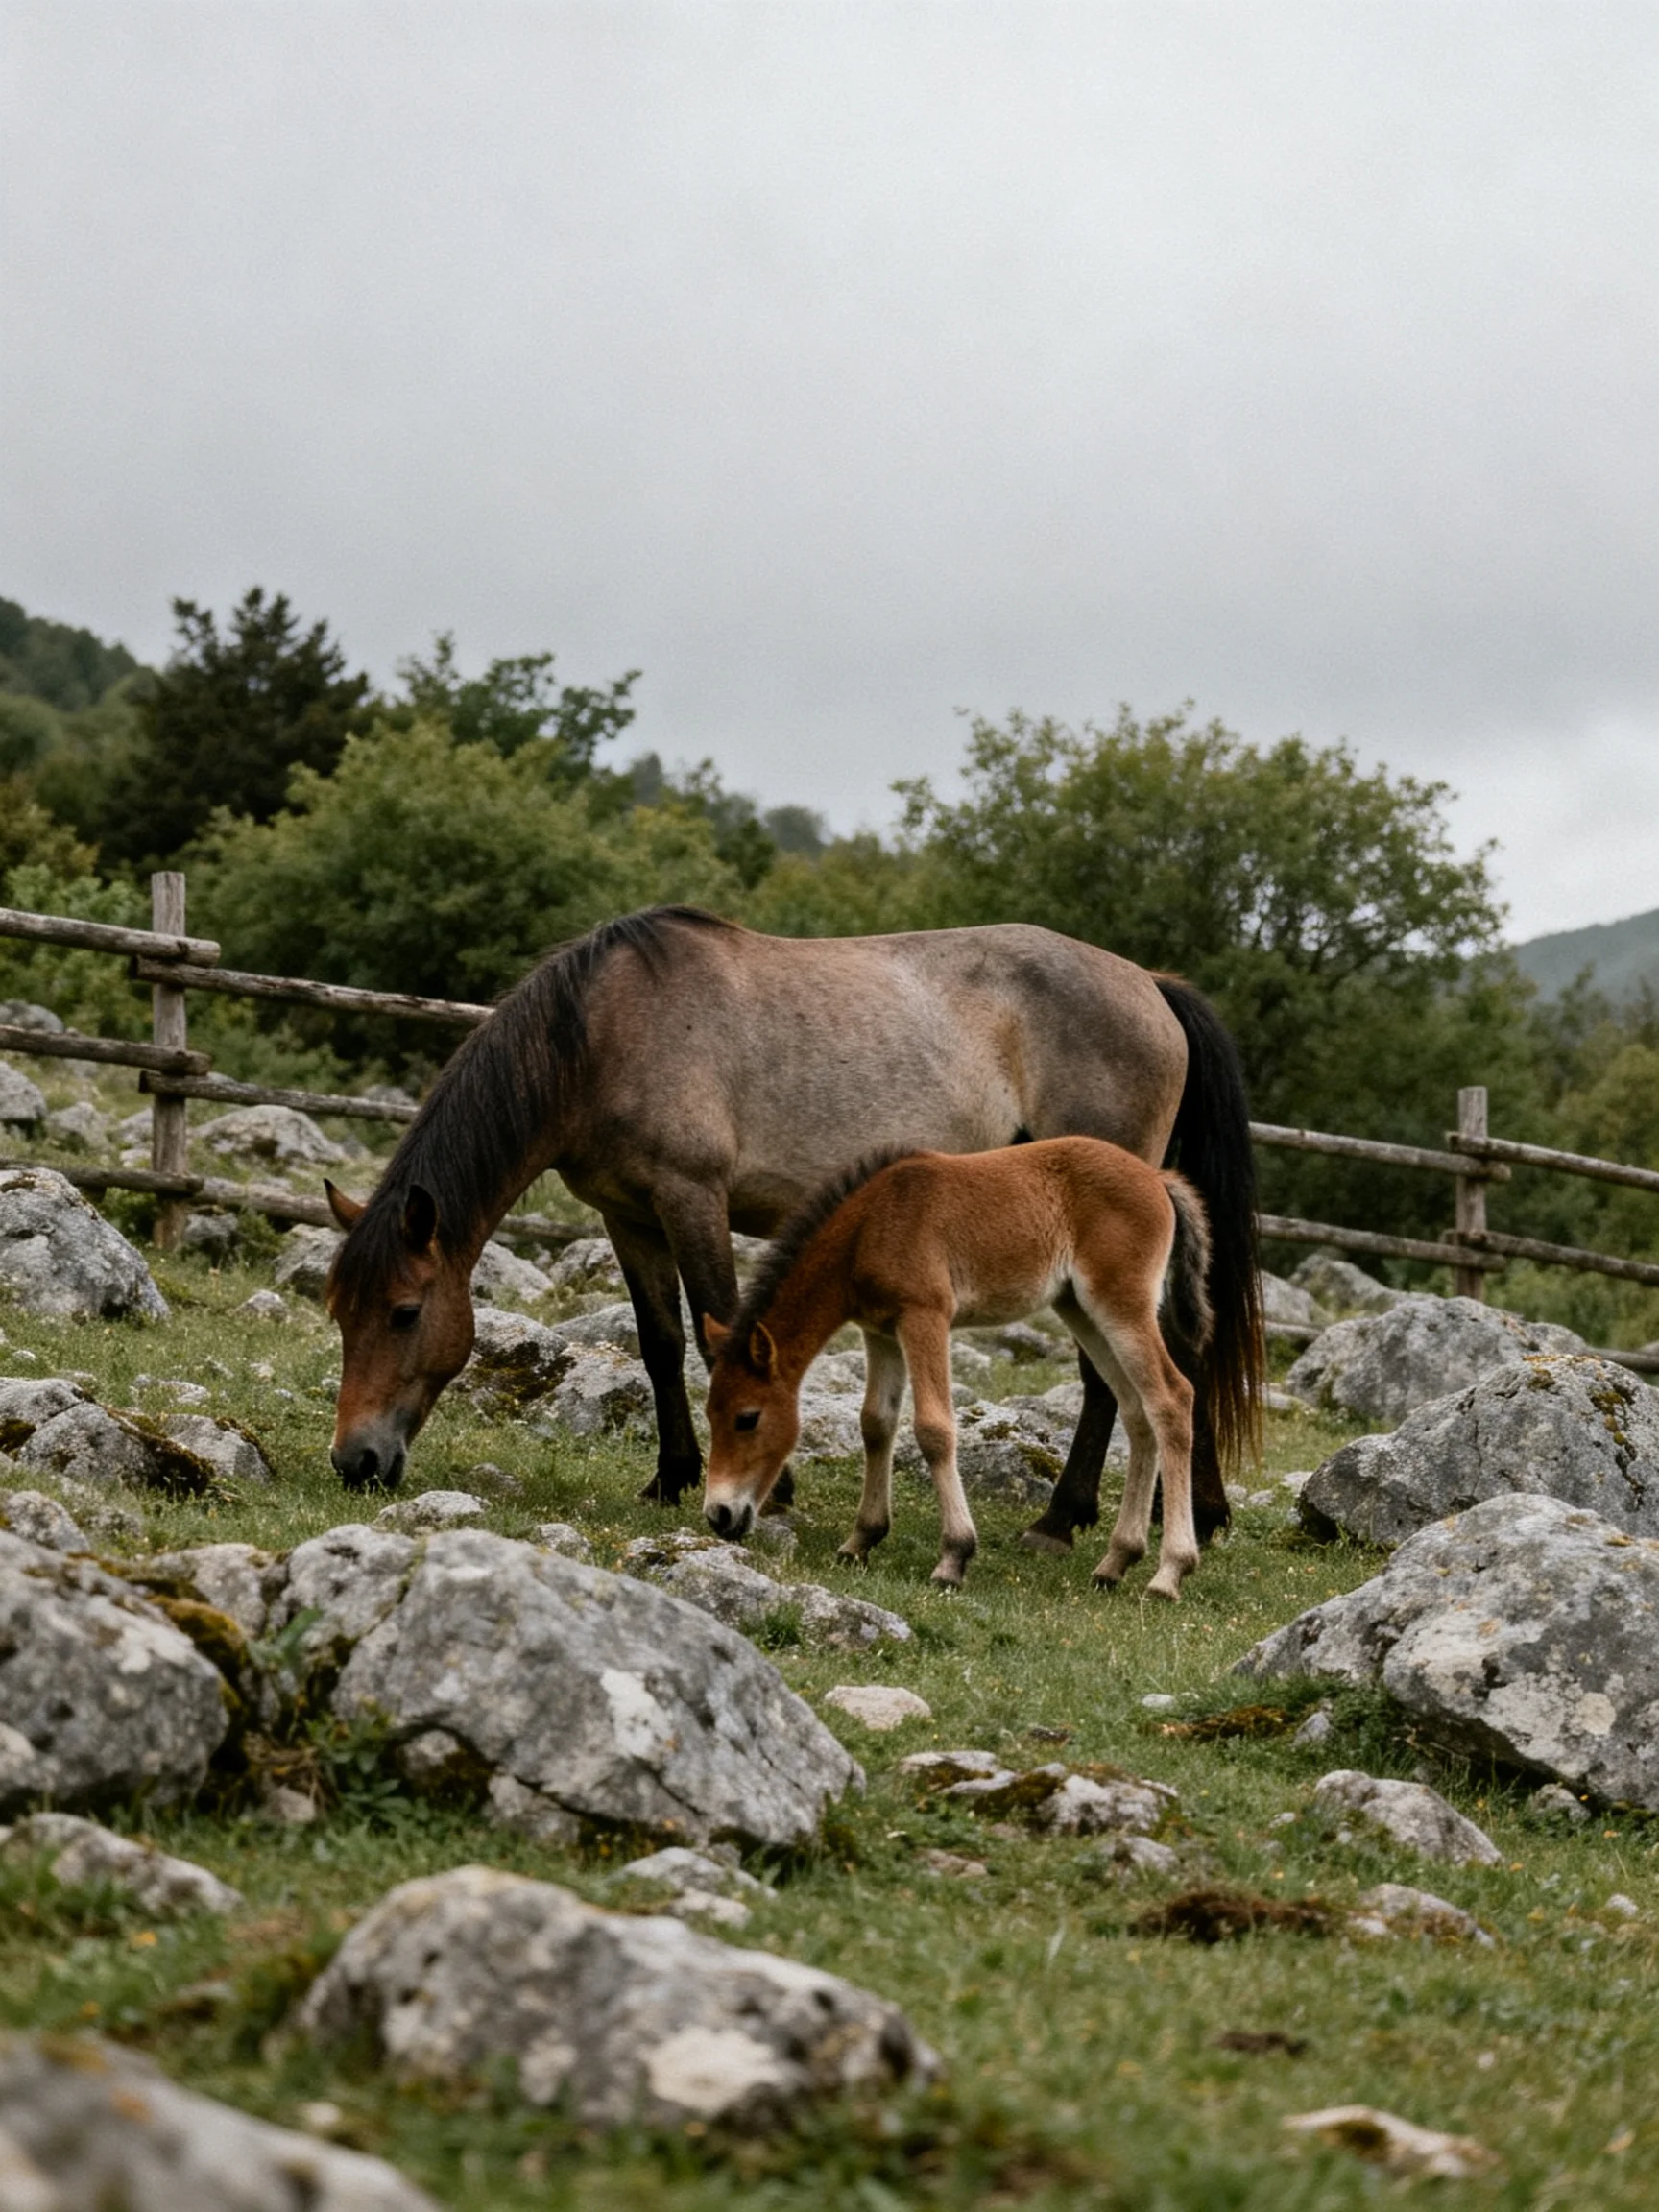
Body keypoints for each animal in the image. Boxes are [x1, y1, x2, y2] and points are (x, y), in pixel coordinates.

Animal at [323, 905, 1262, 1548]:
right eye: (339, 1313)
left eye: (405, 1312)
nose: (354, 1462)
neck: (603, 1033)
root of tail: (1152, 985)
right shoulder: (629, 1216)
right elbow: (659, 1343)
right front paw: (670, 1478)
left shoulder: (692, 1198)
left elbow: (718, 1336)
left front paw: (765, 1492)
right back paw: (1191, 1512)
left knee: (1120, 1373)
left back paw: (1064, 1520)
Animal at [702, 1138, 1214, 1597]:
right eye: (709, 1415)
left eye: (748, 1418)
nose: (719, 1515)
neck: (871, 1226)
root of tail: (1159, 1179)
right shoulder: (880, 1332)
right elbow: (876, 1423)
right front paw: (861, 1539)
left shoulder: (924, 1316)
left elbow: (933, 1428)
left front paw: (954, 1556)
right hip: (1081, 1310)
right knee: (1136, 1409)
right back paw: (1116, 1561)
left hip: (1121, 1307)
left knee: (1172, 1398)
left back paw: (1169, 1573)